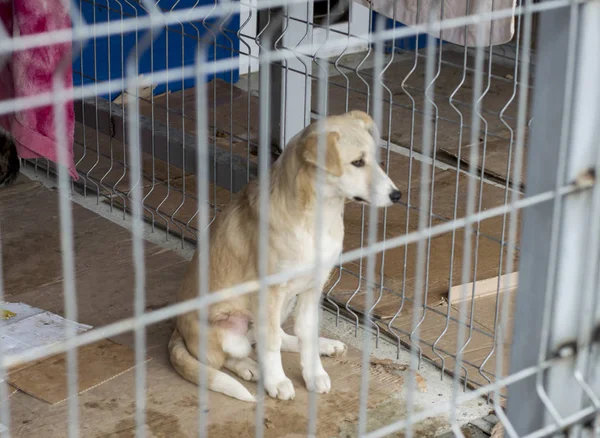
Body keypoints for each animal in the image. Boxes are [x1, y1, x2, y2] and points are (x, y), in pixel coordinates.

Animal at [169, 109, 400, 400]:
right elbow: (270, 344)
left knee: (277, 337)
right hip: (228, 329)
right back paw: (250, 367)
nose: (397, 195)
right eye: (357, 162)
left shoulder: (313, 287)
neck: (318, 218)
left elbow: (305, 334)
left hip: (285, 304)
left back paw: (325, 345)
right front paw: (276, 381)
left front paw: (314, 373)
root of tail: (177, 330)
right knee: (230, 355)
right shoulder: (269, 292)